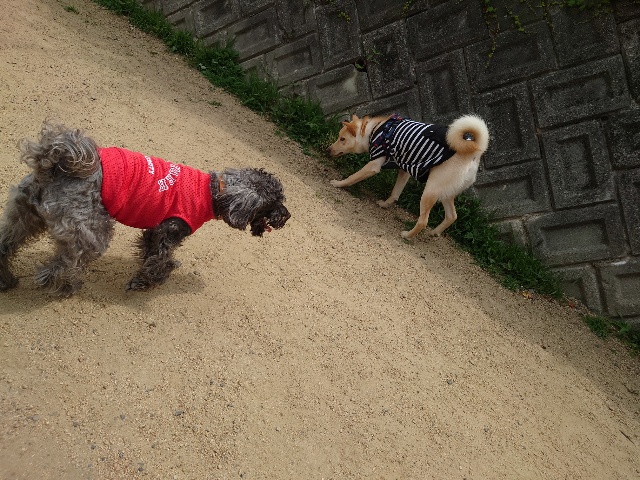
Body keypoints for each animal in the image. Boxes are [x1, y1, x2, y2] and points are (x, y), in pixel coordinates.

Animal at [0, 122, 290, 296]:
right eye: (274, 202)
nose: (287, 216)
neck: (211, 192)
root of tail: (55, 166)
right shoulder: (168, 230)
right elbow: (161, 260)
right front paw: (147, 281)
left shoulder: (154, 231)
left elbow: (150, 255)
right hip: (91, 232)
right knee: (64, 262)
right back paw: (64, 285)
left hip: (24, 216)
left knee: (6, 245)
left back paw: (7, 280)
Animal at [327, 113, 489, 239]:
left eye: (342, 139)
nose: (328, 149)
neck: (372, 130)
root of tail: (474, 152)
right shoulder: (404, 170)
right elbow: (395, 193)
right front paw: (385, 204)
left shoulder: (373, 166)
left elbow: (352, 177)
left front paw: (338, 183)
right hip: (445, 192)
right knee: (452, 216)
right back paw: (434, 232)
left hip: (430, 190)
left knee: (423, 221)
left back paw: (407, 235)